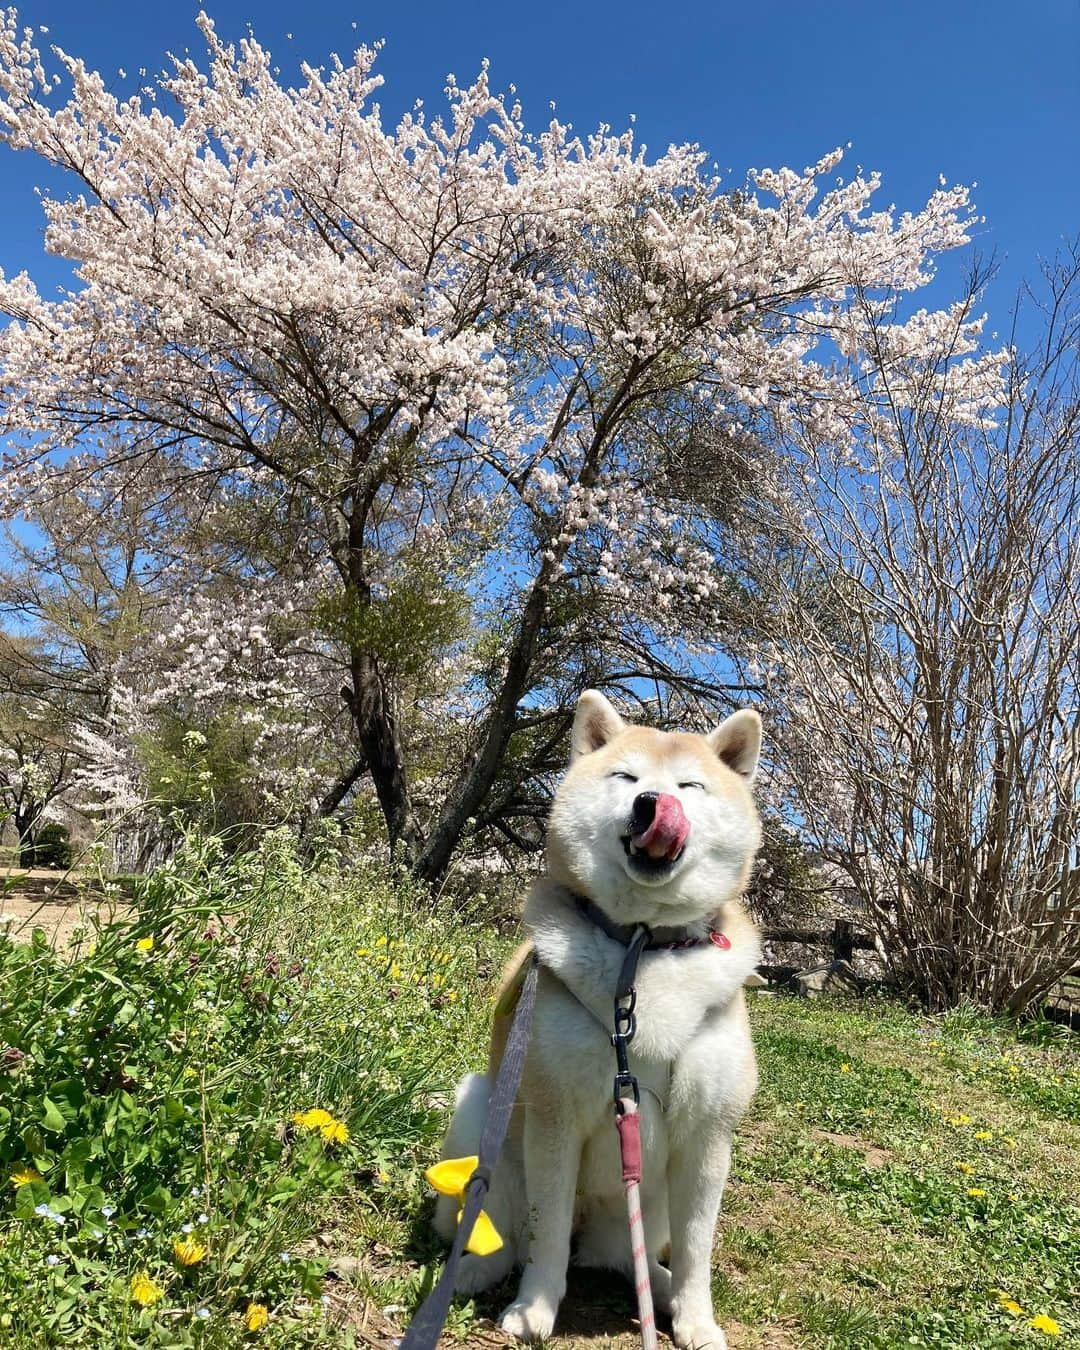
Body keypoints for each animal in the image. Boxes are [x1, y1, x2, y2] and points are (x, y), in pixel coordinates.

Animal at [434, 691, 761, 1344]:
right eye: (626, 777)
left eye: (689, 785)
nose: (652, 804)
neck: (643, 945)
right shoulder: (554, 1115)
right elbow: (548, 1235)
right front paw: (535, 1308)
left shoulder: (707, 1135)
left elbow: (697, 1249)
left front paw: (696, 1318)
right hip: (482, 1108)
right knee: (504, 1233)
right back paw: (475, 1271)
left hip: (643, 1210)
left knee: (621, 1257)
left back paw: (657, 1287)